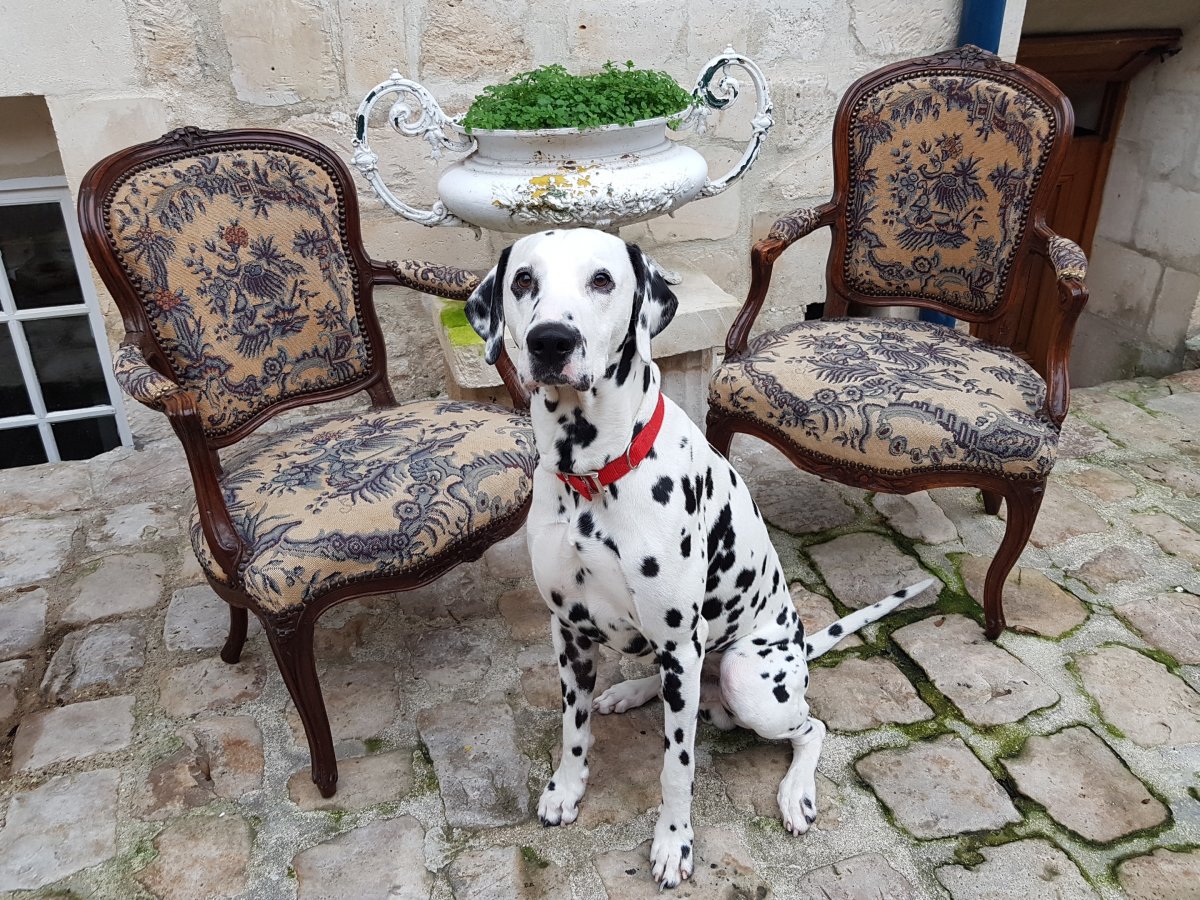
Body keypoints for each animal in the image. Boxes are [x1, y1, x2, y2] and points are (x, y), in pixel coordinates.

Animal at [463, 229, 931, 892]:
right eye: (524, 280)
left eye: (602, 280)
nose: (550, 340)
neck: (593, 477)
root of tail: (799, 645)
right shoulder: (569, 632)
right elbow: (573, 727)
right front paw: (566, 788)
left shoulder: (679, 645)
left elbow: (676, 768)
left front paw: (674, 843)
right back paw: (629, 691)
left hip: (746, 679)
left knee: (810, 726)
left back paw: (795, 793)